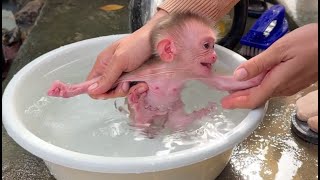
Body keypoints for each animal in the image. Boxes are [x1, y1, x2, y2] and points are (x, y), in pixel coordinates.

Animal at [47, 12, 266, 131]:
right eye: (206, 45)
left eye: (213, 46)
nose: (213, 56)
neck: (172, 71)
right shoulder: (146, 71)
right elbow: (107, 80)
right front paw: (64, 90)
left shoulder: (196, 73)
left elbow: (221, 83)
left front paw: (259, 77)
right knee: (142, 120)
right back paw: (137, 107)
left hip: (174, 110)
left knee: (177, 122)